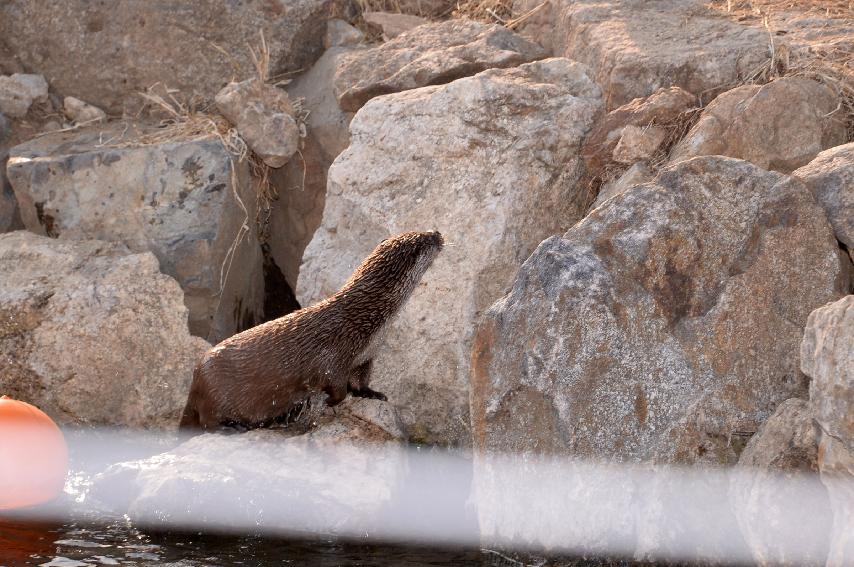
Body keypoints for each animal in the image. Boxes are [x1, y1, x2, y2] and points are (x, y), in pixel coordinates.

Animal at [181, 231, 448, 430]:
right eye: (424, 238)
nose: (436, 232)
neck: (365, 320)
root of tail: (195, 381)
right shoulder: (334, 355)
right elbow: (337, 387)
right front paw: (330, 401)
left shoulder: (366, 357)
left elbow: (361, 382)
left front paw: (373, 394)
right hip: (215, 392)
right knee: (207, 422)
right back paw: (234, 426)